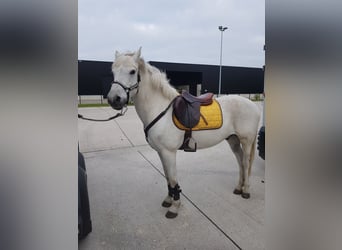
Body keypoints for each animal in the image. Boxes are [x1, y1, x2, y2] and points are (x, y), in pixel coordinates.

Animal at [108, 47, 260, 218]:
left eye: (133, 71)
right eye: (113, 71)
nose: (114, 99)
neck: (160, 109)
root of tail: (254, 106)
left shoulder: (169, 152)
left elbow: (173, 179)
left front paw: (174, 207)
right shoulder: (161, 152)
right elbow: (168, 178)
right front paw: (169, 199)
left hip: (246, 140)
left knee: (246, 162)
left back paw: (246, 190)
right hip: (233, 139)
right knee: (240, 161)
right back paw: (239, 187)